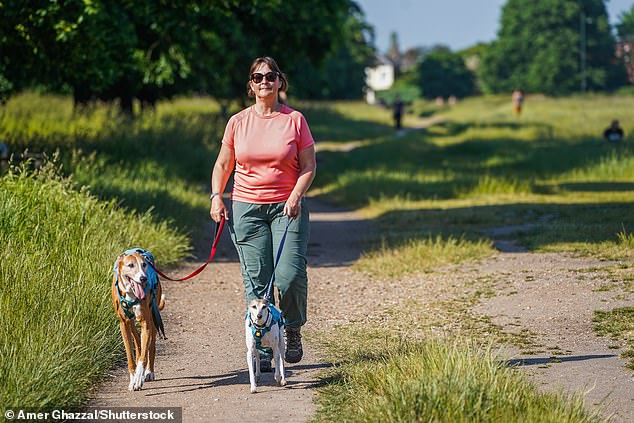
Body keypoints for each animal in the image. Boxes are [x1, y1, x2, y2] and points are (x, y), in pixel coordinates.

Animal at [112, 250, 164, 392]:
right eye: (130, 265)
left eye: (144, 265)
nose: (143, 278)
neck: (131, 294)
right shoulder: (123, 324)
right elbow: (130, 356)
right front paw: (132, 378)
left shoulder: (146, 323)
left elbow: (143, 357)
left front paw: (138, 379)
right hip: (131, 324)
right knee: (137, 341)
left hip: (152, 320)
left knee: (150, 346)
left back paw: (149, 372)